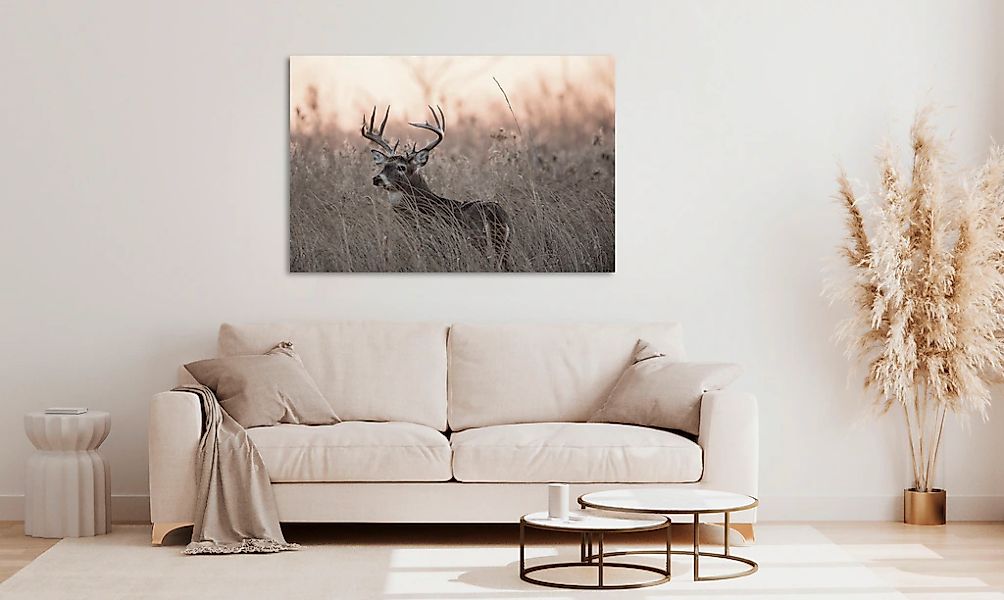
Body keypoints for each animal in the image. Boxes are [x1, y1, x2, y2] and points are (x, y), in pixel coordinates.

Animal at [361, 105, 513, 271]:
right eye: (384, 165)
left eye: (401, 167)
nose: (377, 178)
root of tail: (496, 215)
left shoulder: (434, 242)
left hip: (480, 243)